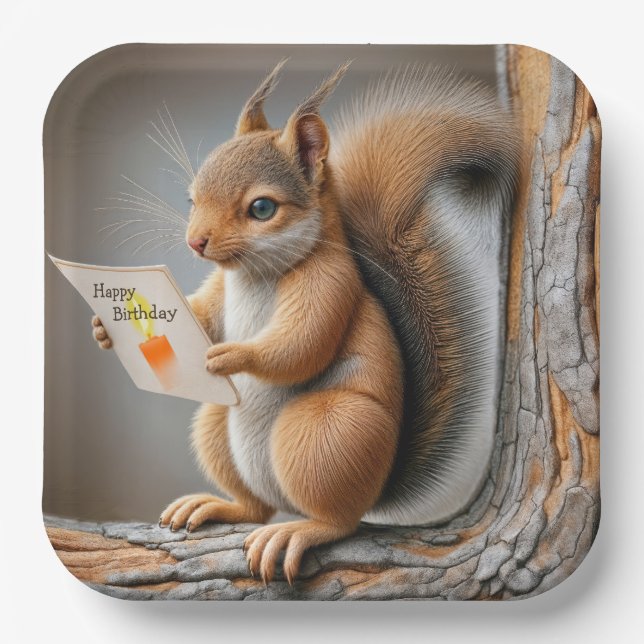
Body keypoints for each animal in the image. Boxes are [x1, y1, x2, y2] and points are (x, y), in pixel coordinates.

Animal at [92, 59, 520, 584]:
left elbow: (302, 344)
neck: (255, 273)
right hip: (218, 426)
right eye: (192, 199)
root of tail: (376, 487)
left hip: (324, 434)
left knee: (337, 521)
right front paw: (103, 329)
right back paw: (215, 506)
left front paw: (230, 355)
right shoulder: (219, 291)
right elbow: (204, 315)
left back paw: (296, 532)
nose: (196, 242)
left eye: (262, 208)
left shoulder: (329, 283)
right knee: (255, 507)